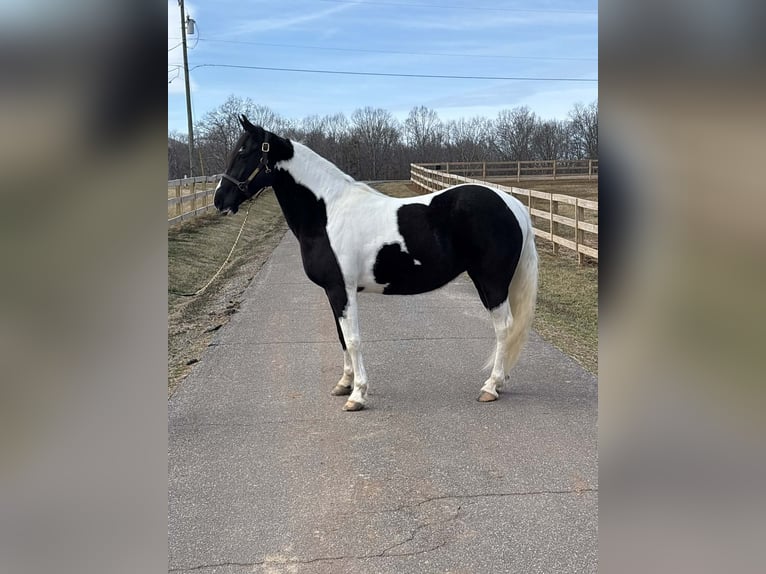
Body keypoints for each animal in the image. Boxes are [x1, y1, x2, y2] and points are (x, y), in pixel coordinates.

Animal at [214, 115, 538, 412]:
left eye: (244, 152)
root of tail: (513, 204)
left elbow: (353, 339)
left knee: (503, 327)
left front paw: (357, 395)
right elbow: (341, 337)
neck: (327, 212)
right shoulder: (333, 291)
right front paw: (344, 384)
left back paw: (491, 387)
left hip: (492, 281)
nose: (220, 201)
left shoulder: (341, 289)